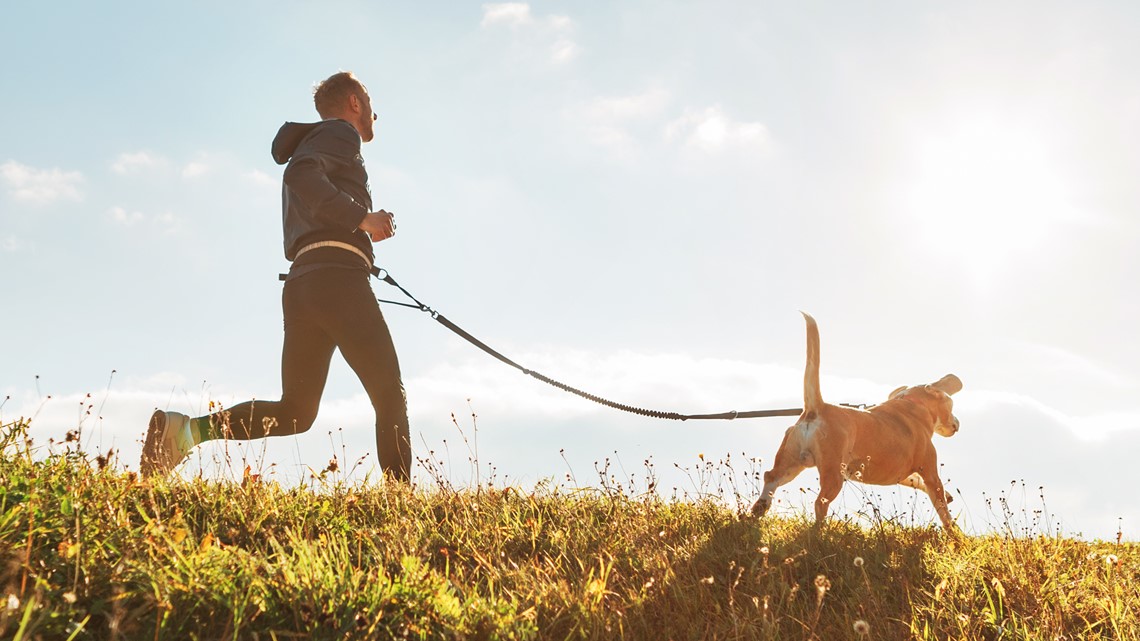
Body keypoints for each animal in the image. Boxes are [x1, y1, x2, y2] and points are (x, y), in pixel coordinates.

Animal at [756, 312, 962, 529]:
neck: (912, 403)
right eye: (950, 403)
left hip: (790, 462)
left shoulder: (904, 475)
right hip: (833, 473)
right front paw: (954, 531)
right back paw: (819, 530)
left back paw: (758, 510)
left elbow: (916, 481)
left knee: (770, 478)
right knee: (820, 502)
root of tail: (817, 407)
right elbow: (942, 508)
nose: (957, 422)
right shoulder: (930, 472)